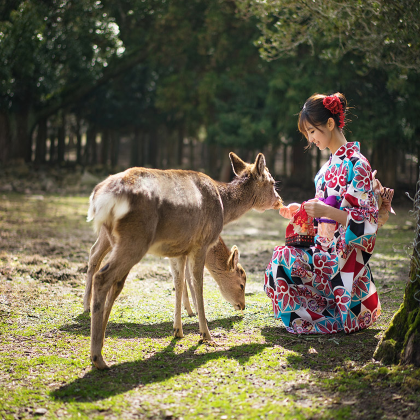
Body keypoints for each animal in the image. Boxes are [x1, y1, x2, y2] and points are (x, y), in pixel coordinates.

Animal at [84, 233, 248, 316]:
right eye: (242, 284)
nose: (242, 306)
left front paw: (190, 310)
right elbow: (187, 276)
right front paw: (193, 310)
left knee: (95, 253)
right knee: (94, 254)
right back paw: (87, 306)